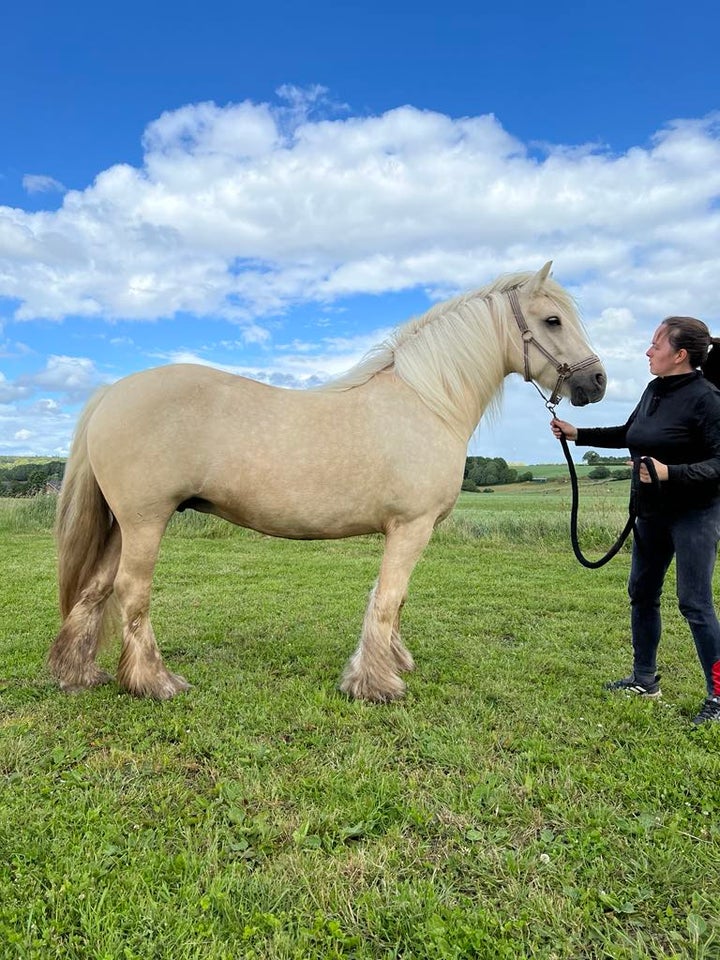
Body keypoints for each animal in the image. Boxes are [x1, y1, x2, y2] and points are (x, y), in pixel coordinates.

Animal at [47, 258, 604, 700]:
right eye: (552, 320)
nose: (596, 382)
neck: (426, 401)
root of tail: (112, 393)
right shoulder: (412, 527)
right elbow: (389, 598)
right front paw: (376, 684)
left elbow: (391, 599)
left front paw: (391, 664)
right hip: (145, 521)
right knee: (132, 592)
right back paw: (155, 682)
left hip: (123, 524)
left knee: (95, 589)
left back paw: (78, 674)